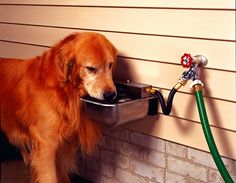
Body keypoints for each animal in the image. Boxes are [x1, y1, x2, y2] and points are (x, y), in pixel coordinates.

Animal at [0, 32, 117, 182]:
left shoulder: (61, 146)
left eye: (110, 65)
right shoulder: (46, 145)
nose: (110, 95)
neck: (63, 89)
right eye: (91, 68)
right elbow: (49, 177)